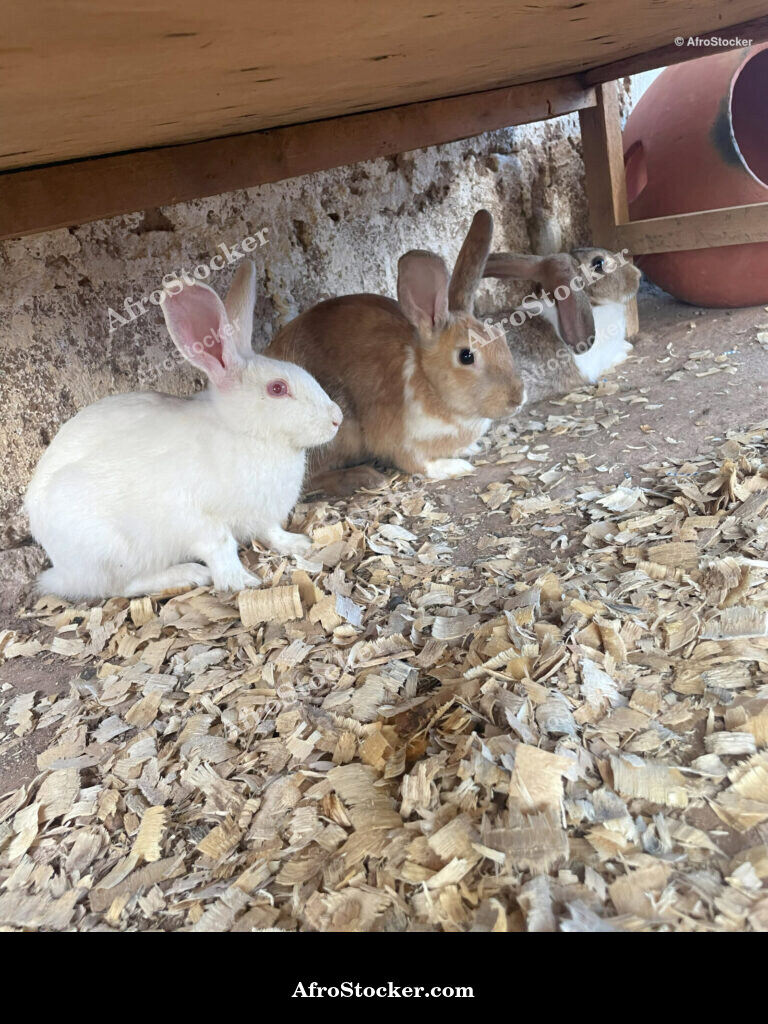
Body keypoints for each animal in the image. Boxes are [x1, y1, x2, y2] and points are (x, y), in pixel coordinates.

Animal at [24, 262, 343, 601]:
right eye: (278, 388)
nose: (336, 418)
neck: (242, 432)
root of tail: (61, 571)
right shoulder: (198, 520)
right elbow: (221, 546)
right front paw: (241, 582)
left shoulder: (262, 516)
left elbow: (271, 532)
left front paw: (299, 544)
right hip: (114, 550)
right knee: (121, 587)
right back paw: (188, 575)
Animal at [265, 210, 525, 496]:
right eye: (466, 356)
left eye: (501, 338)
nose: (518, 398)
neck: (430, 385)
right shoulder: (401, 440)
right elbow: (416, 464)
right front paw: (453, 467)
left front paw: (470, 448)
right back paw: (365, 477)